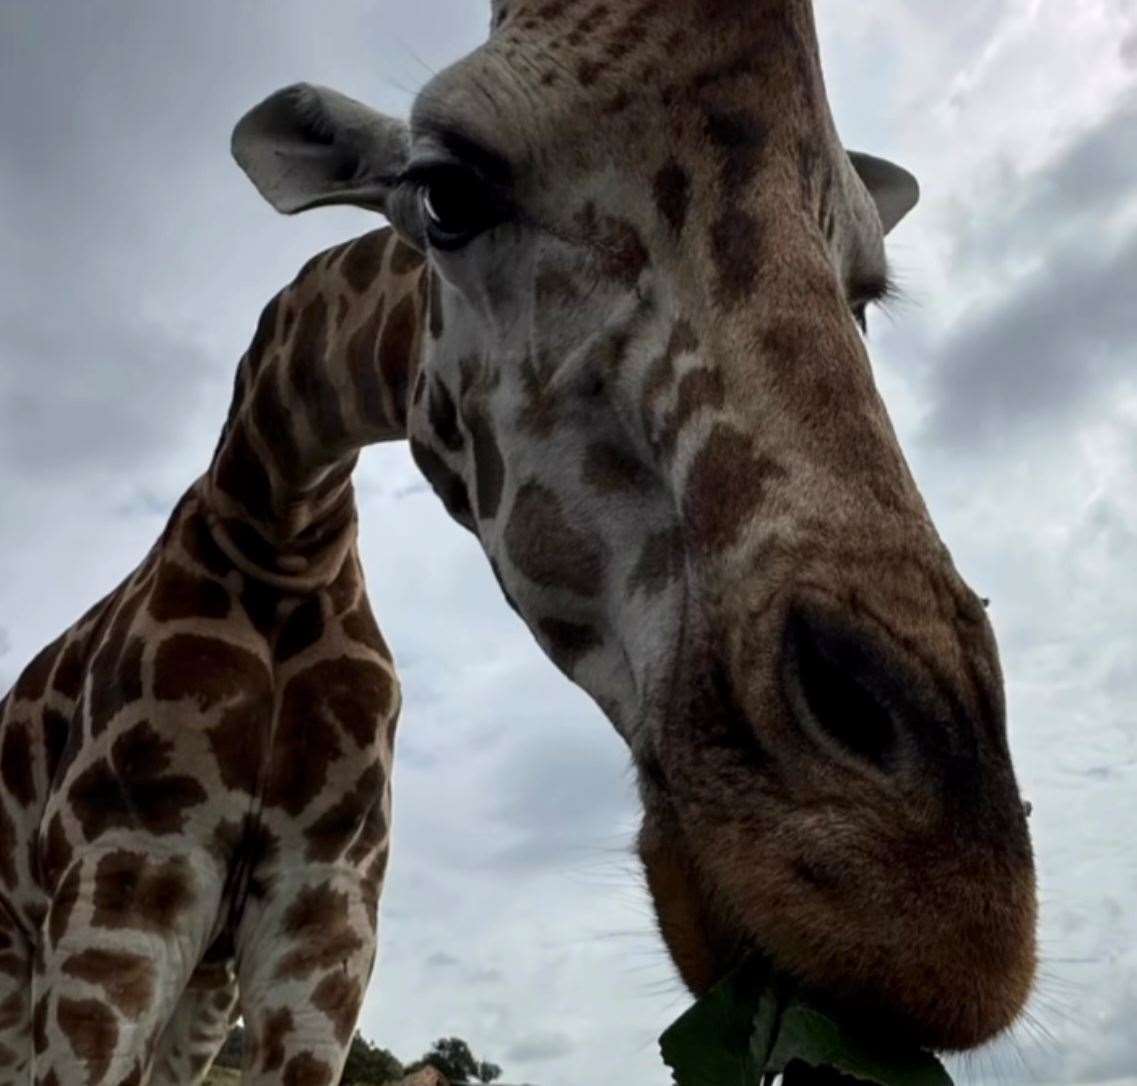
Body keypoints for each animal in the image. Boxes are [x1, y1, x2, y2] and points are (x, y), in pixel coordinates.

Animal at [0, 0, 1041, 1078]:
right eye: (446, 193)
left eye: (864, 291)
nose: (948, 907)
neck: (278, 533)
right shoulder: (121, 879)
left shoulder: (326, 920)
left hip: (203, 986)